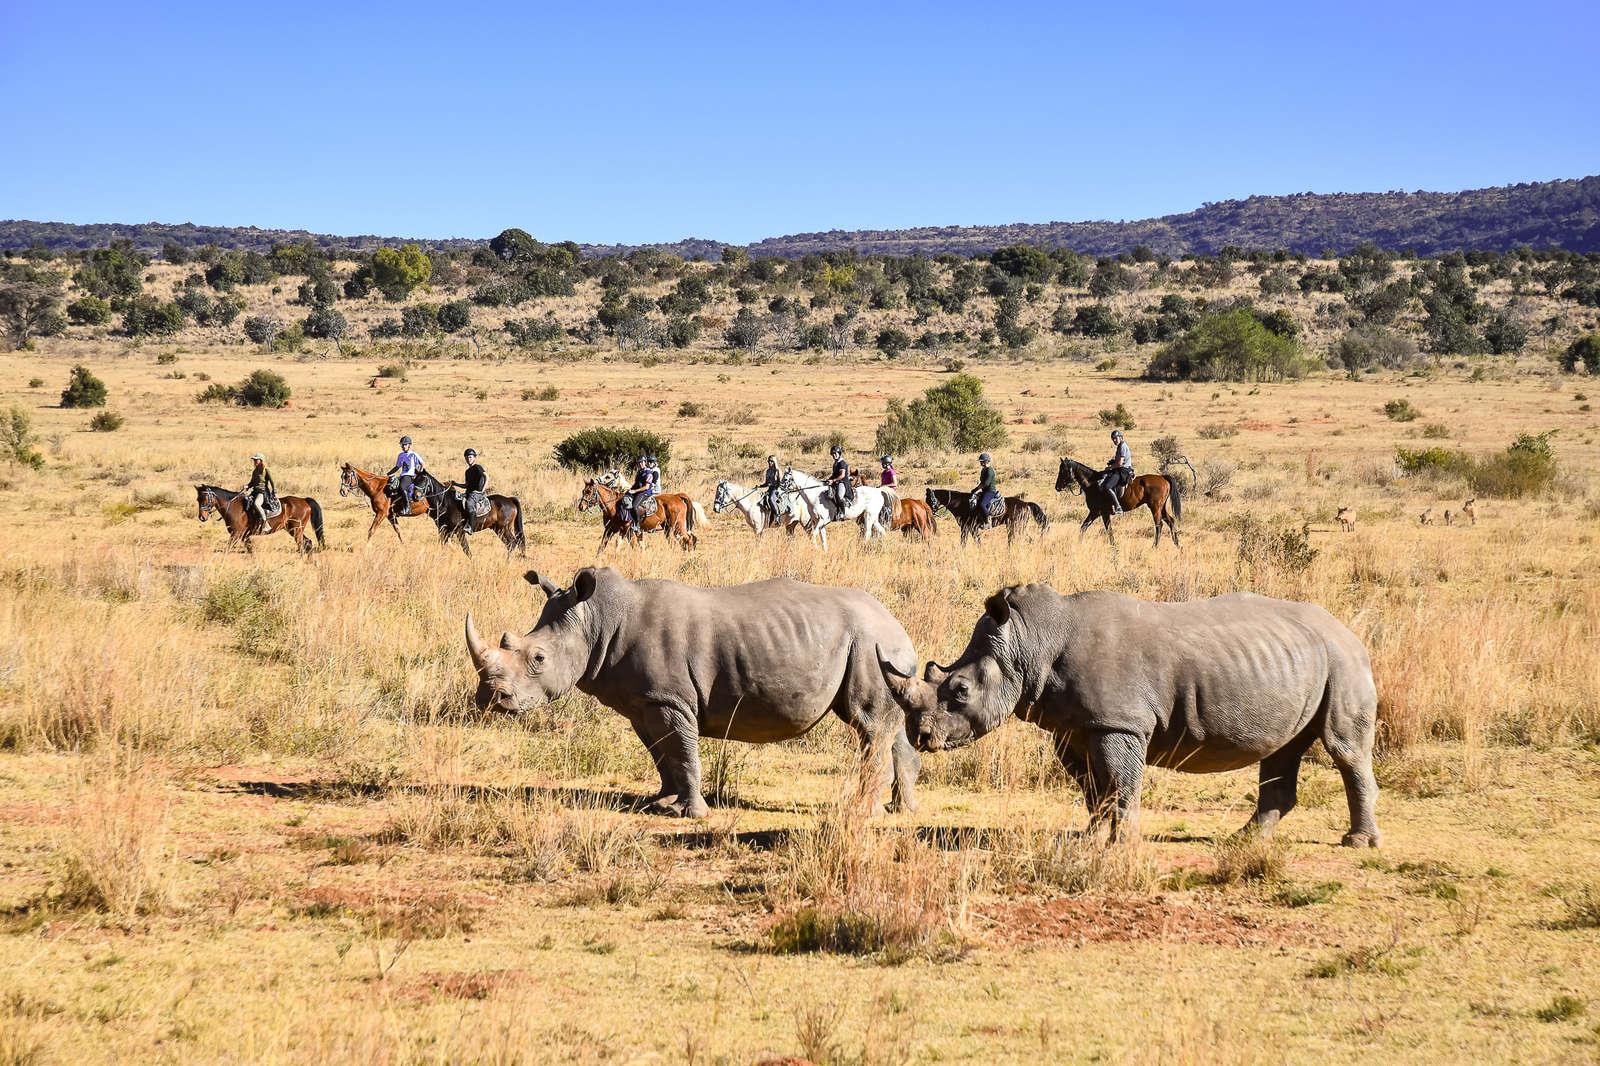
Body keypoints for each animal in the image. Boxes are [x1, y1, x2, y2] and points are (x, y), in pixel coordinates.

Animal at [195, 484, 325, 553]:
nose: (202, 517)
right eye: (198, 499)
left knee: (302, 545)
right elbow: (250, 551)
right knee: (308, 543)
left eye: (205, 499)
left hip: (296, 530)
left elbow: (227, 549)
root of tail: (304, 500)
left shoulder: (236, 534)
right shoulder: (244, 536)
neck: (232, 506)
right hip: (293, 530)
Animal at [1055, 457, 1183, 547]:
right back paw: (1177, 544)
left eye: (1063, 471)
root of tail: (1163, 477)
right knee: (1171, 521)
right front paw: (1078, 543)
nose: (1057, 487)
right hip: (1161, 507)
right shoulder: (1095, 512)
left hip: (1155, 507)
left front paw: (1113, 546)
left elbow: (1108, 530)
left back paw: (1154, 546)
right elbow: (1083, 527)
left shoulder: (1102, 513)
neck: (1093, 483)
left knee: (1159, 525)